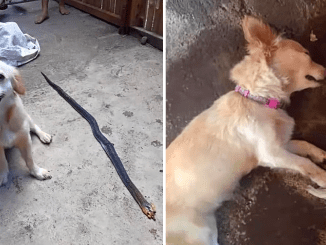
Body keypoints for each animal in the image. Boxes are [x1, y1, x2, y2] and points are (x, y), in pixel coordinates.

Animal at [166, 15, 326, 245]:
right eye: (306, 54)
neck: (259, 99)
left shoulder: (281, 144)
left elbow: (304, 144)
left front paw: (321, 154)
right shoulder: (272, 154)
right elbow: (305, 164)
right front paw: (323, 177)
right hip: (197, 236)